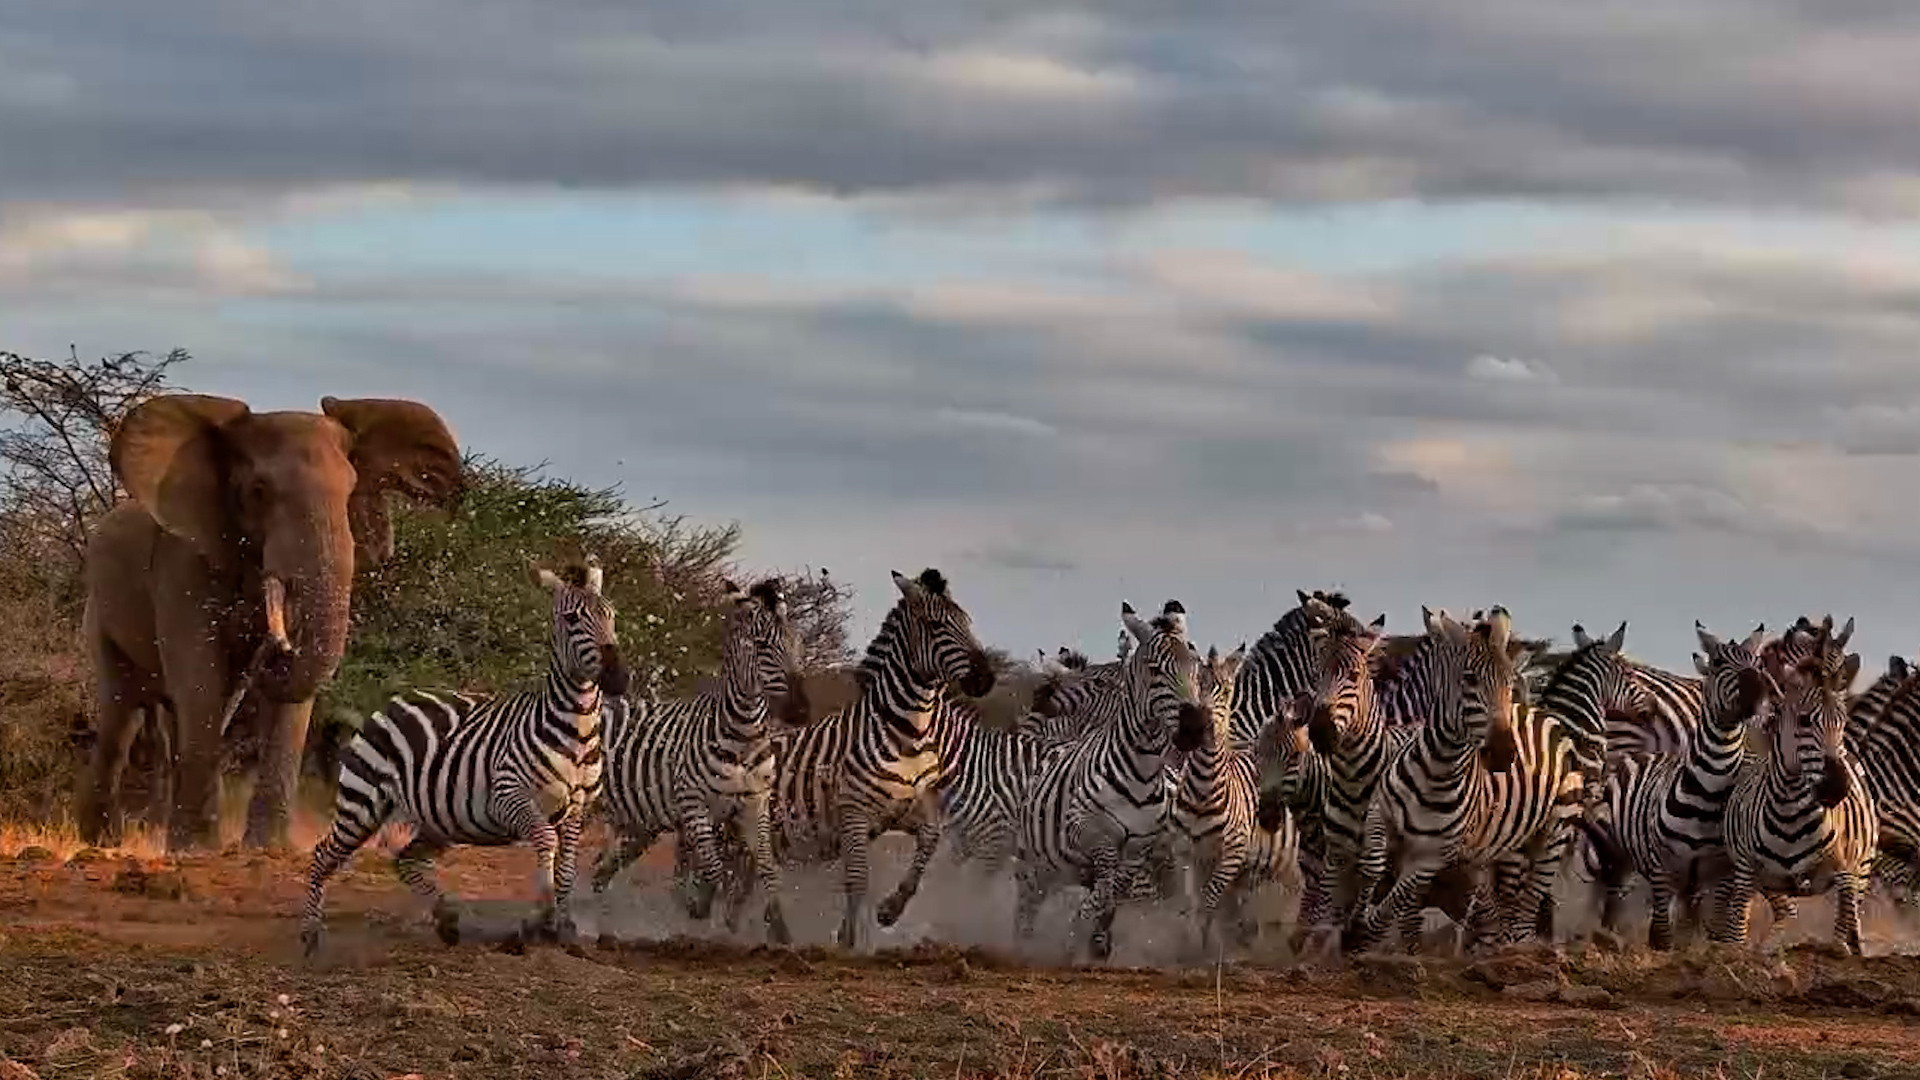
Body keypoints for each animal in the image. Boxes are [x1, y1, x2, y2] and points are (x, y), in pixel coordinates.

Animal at [76, 393, 464, 853]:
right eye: (259, 492)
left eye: (351, 491)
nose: (270, 648)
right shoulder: (181, 563)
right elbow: (200, 676)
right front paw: (198, 850)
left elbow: (284, 702)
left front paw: (268, 849)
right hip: (99, 611)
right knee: (122, 714)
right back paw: (103, 842)